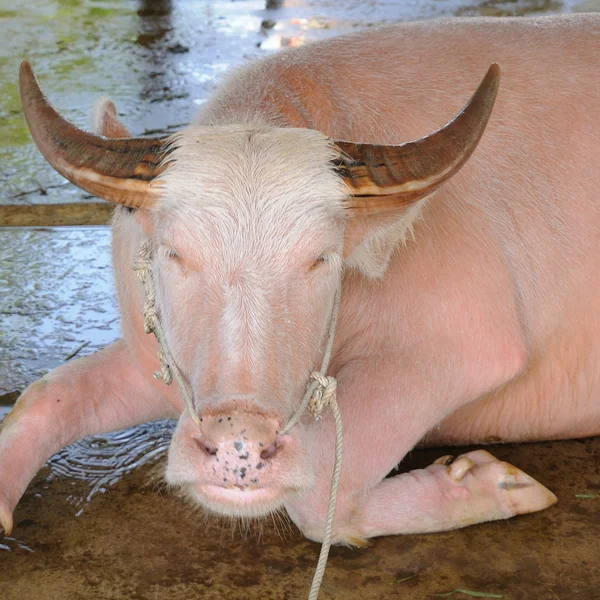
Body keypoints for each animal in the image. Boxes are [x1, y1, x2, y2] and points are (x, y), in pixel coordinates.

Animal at [1, 16, 600, 548]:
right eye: (174, 253)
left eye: (322, 260)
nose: (237, 446)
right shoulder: (153, 360)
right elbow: (47, 395)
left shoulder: (464, 347)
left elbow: (316, 496)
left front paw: (490, 485)